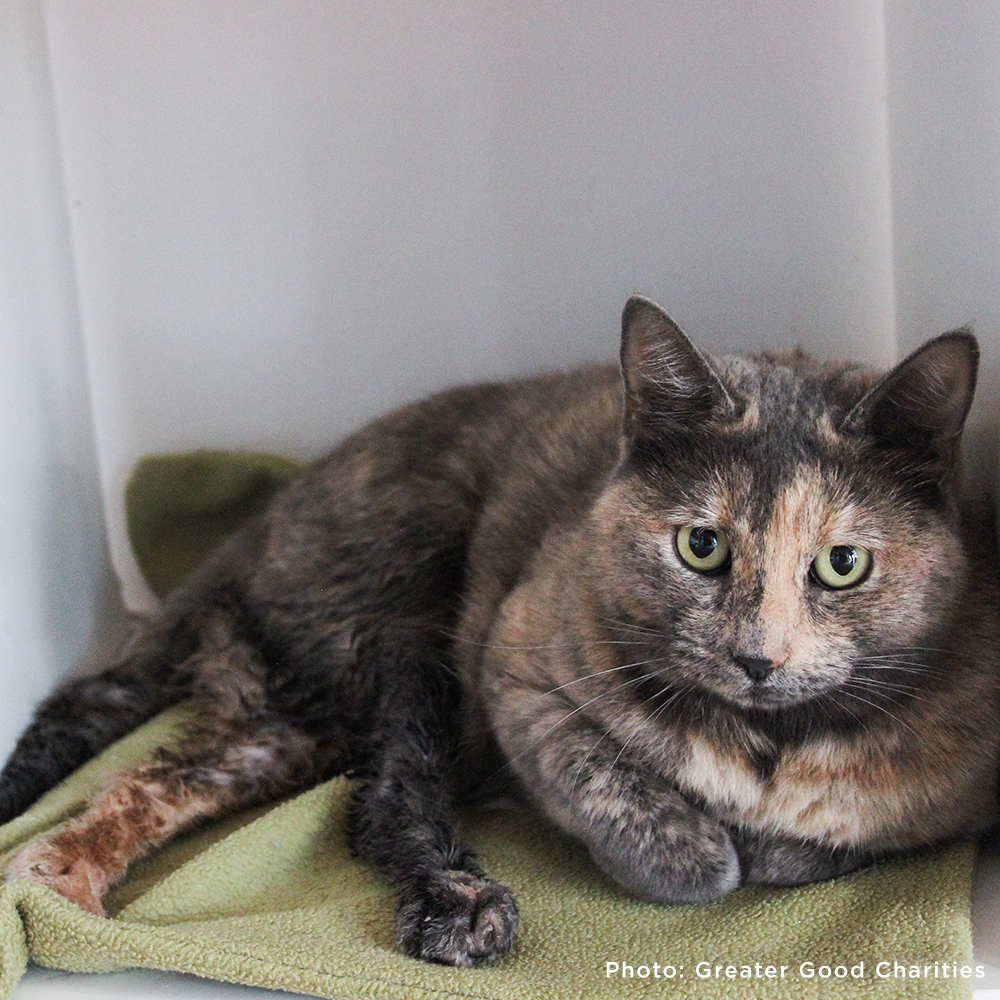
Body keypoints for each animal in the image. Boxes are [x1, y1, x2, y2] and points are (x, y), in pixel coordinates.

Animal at [1, 296, 998, 968]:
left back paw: (61, 871)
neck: (765, 741)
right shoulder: (520, 676)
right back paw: (459, 905)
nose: (758, 657)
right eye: (701, 546)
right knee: (384, 802)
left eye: (842, 565)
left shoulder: (948, 793)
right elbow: (622, 797)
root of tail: (257, 525)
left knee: (156, 777)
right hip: (412, 607)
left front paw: (769, 841)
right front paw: (700, 853)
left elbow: (836, 833)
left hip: (288, 716)